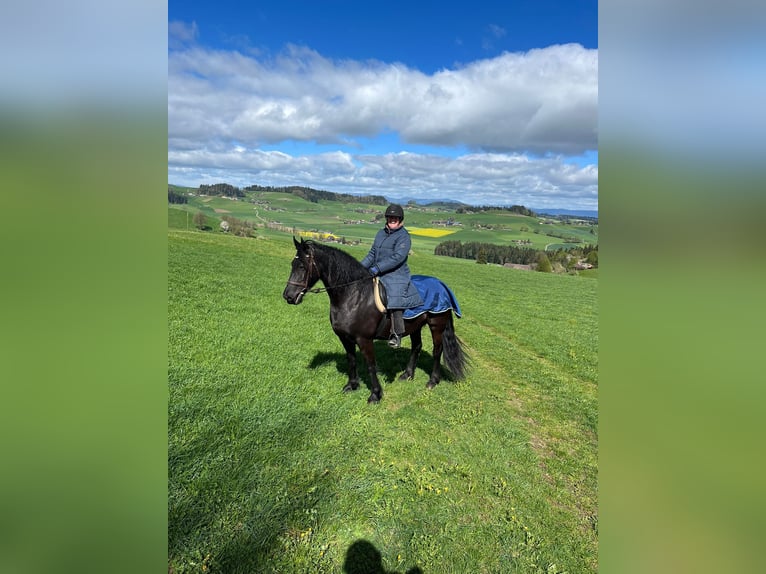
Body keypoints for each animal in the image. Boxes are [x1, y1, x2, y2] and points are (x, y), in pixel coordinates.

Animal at [284, 238, 472, 404]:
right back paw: (407, 375)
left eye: (302, 266)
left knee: (437, 351)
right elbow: (351, 360)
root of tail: (442, 285)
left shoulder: (364, 339)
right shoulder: (345, 338)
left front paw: (375, 395)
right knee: (417, 347)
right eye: (292, 264)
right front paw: (352, 386)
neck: (353, 295)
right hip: (415, 326)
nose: (288, 296)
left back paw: (432, 381)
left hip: (436, 325)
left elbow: (370, 365)